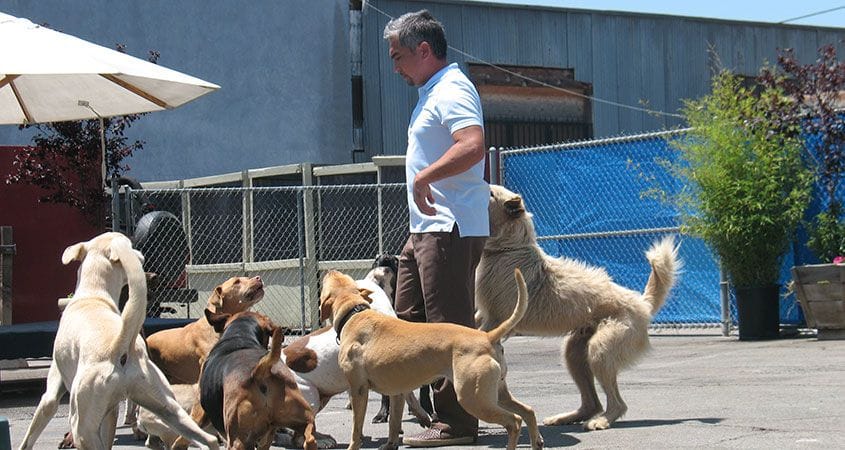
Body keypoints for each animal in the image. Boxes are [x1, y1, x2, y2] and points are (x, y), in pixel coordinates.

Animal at [18, 232, 218, 450]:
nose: (141, 256)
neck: (94, 292)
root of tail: (120, 346)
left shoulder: (52, 393)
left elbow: (30, 434)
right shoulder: (111, 411)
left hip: (82, 428)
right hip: (169, 410)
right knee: (209, 439)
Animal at [316, 268, 540, 448]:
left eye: (329, 280)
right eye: (342, 277)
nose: (329, 269)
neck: (354, 312)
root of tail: (487, 336)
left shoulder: (358, 390)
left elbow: (356, 429)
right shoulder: (397, 392)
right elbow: (394, 422)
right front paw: (390, 445)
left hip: (474, 398)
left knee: (514, 422)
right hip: (496, 393)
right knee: (528, 411)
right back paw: (536, 442)